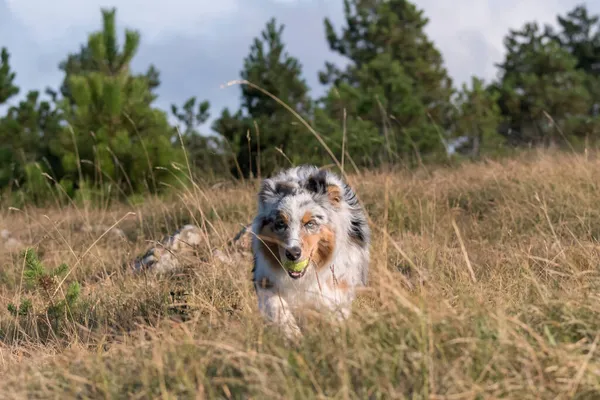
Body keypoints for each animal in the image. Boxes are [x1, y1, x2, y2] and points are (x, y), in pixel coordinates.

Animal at [250, 164, 370, 340]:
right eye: (280, 223)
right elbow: (277, 307)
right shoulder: (266, 280)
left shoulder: (336, 284)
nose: (293, 254)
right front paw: (292, 335)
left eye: (310, 223)